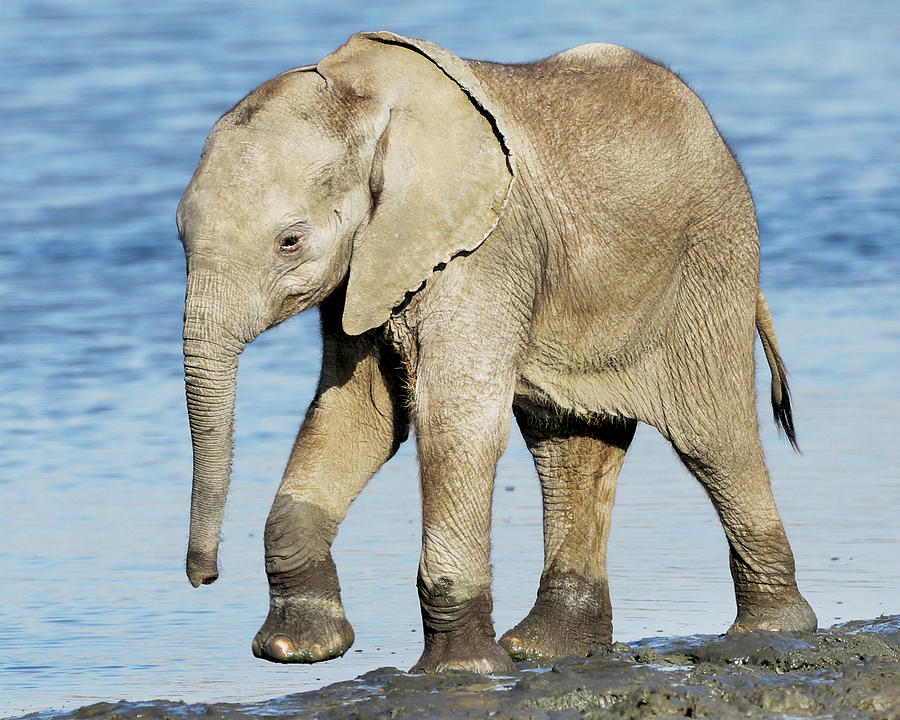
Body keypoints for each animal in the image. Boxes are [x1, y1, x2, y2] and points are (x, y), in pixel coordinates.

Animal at [176, 31, 816, 672]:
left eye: (290, 242)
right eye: (178, 235)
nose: (204, 579)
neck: (365, 96)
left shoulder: (480, 251)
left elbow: (455, 423)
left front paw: (459, 672)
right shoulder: (369, 270)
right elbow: (360, 416)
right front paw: (297, 649)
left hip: (710, 267)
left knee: (715, 437)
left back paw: (770, 633)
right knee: (567, 445)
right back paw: (549, 647)